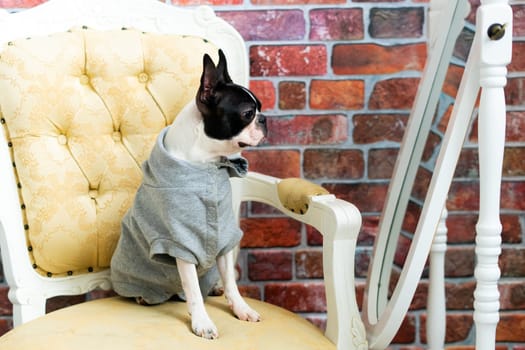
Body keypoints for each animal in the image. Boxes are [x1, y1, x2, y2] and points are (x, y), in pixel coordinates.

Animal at [110, 49, 266, 340]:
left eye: (259, 108)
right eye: (248, 113)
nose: (265, 119)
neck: (207, 164)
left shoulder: (224, 235)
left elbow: (231, 281)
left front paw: (241, 308)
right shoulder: (180, 242)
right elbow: (193, 290)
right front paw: (202, 323)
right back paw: (142, 296)